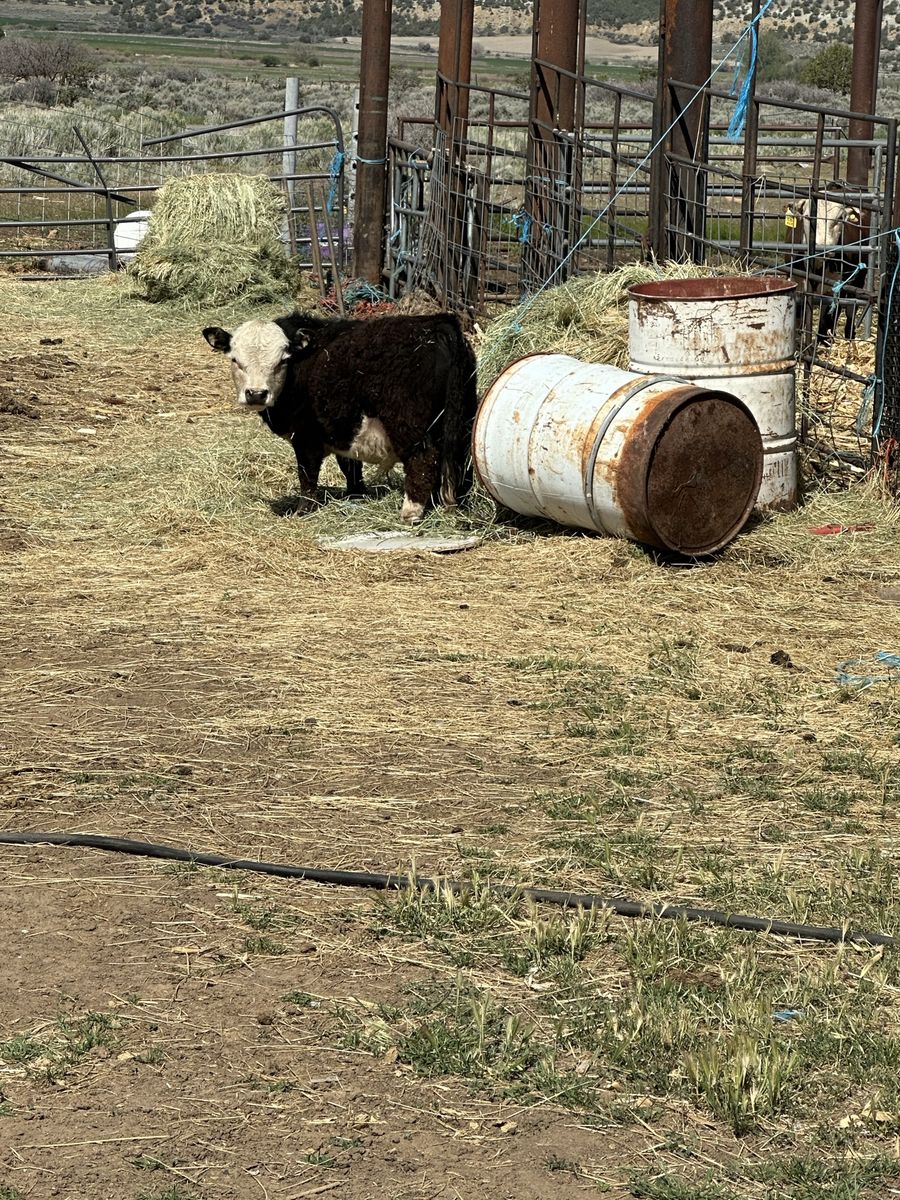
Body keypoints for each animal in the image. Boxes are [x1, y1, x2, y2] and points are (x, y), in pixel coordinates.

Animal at [203, 311, 477, 524]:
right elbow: (350, 466)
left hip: (409, 426)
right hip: (461, 421)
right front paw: (356, 495)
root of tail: (438, 324)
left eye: (282, 361)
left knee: (423, 460)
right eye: (235, 360)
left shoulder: (306, 437)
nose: (256, 394)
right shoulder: (342, 428)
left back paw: (411, 512)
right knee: (459, 463)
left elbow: (307, 476)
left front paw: (303, 510)